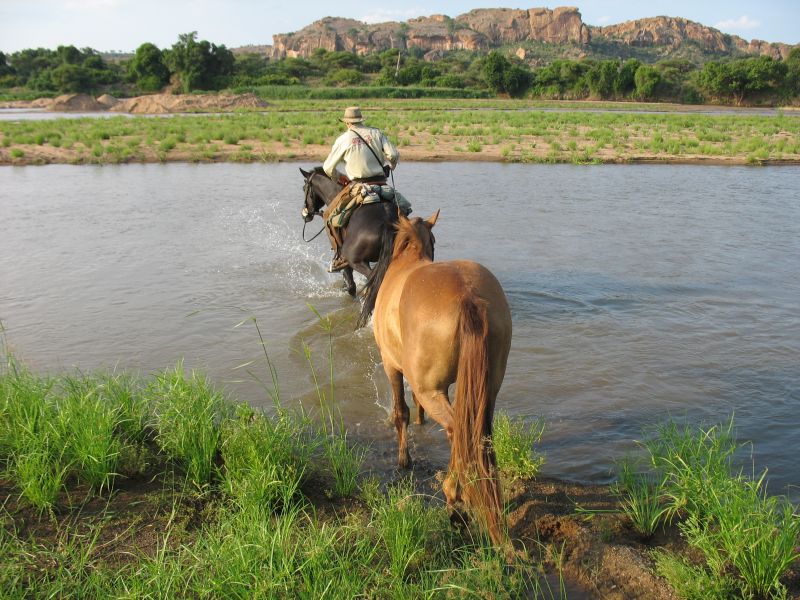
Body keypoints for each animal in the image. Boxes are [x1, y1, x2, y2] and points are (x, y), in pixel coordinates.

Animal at [300, 166, 396, 296]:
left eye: (304, 188)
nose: (306, 214)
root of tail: (387, 225)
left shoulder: (344, 257)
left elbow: (350, 285)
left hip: (355, 261)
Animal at [360, 211, 512, 544]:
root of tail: (468, 295)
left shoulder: (392, 365)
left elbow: (400, 412)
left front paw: (404, 460)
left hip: (434, 390)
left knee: (458, 432)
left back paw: (454, 497)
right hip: (489, 389)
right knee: (479, 435)